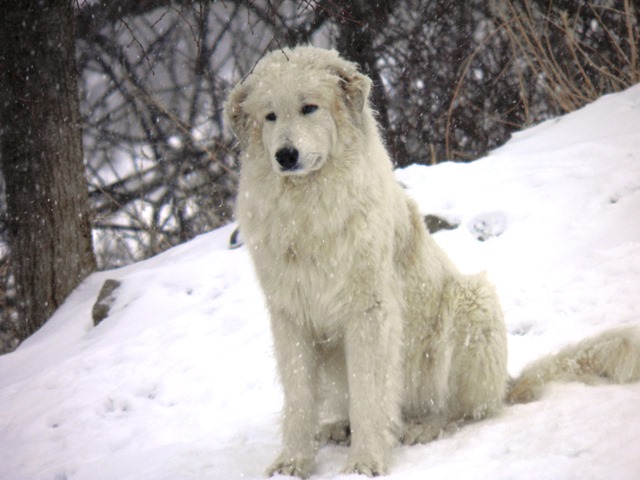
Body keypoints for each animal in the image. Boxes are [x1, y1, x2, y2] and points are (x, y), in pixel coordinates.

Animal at [222, 44, 636, 476]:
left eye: (309, 108)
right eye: (270, 116)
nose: (285, 155)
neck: (308, 212)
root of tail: (507, 382)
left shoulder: (369, 311)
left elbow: (369, 392)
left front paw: (365, 461)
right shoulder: (291, 316)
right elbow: (299, 397)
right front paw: (292, 462)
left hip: (470, 304)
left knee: (464, 413)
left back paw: (421, 427)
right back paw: (338, 426)